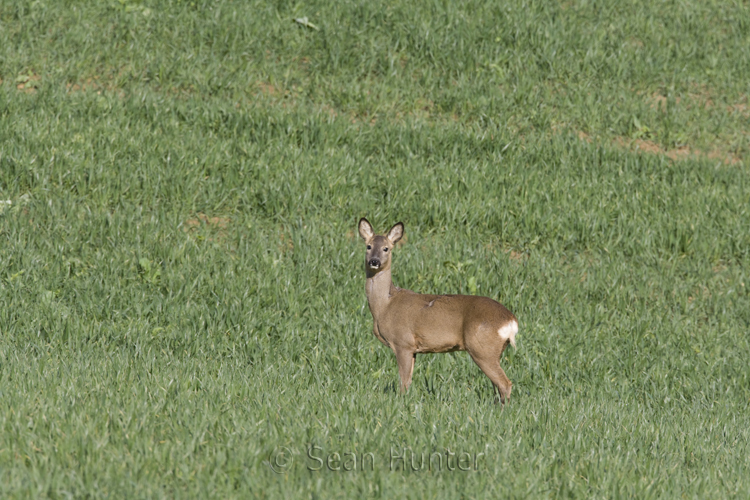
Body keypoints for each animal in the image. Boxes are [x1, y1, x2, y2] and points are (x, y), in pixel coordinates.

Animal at [358, 218, 516, 402]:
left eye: (386, 248)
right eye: (368, 246)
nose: (374, 261)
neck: (384, 307)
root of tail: (511, 321)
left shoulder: (403, 342)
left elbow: (404, 382)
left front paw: (401, 402)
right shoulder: (413, 349)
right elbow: (409, 379)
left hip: (482, 348)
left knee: (505, 383)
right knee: (497, 385)